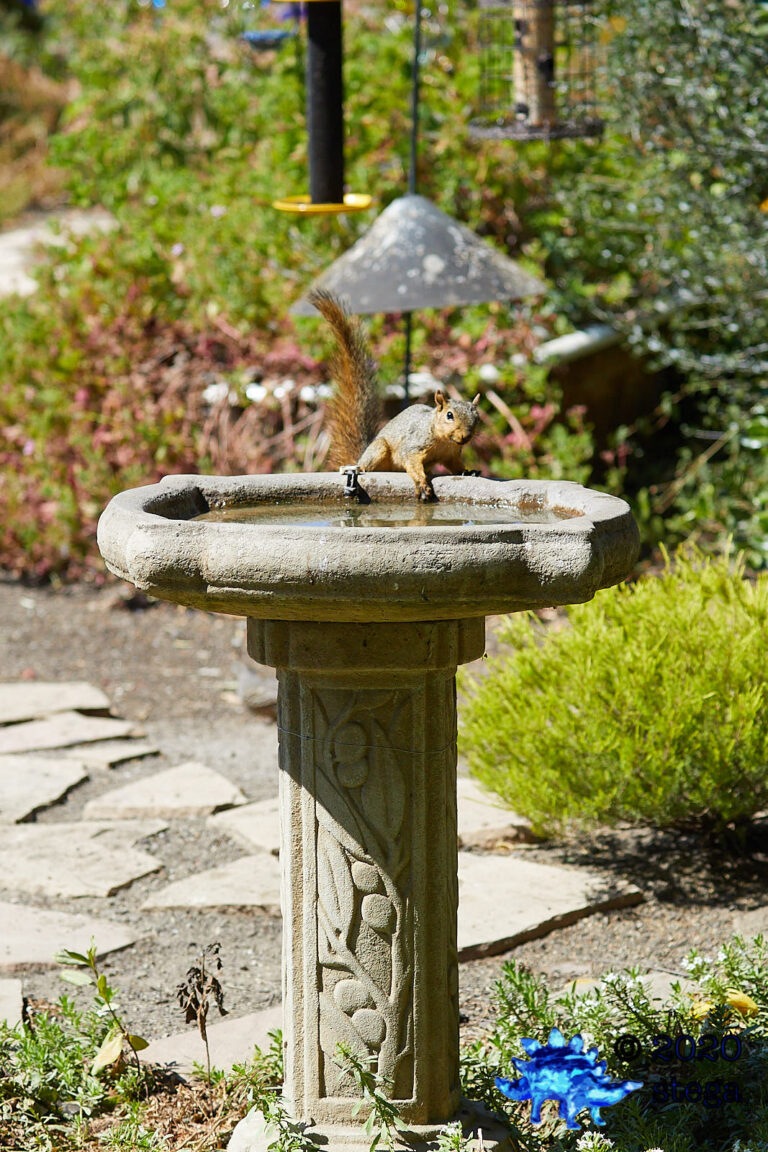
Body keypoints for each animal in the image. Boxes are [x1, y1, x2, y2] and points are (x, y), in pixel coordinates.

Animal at [310, 287, 481, 502]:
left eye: (478, 417)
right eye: (449, 415)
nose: (466, 436)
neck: (443, 441)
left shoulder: (451, 455)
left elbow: (456, 466)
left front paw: (468, 471)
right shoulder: (413, 447)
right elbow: (412, 464)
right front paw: (422, 485)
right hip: (379, 449)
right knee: (367, 466)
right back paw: (358, 470)